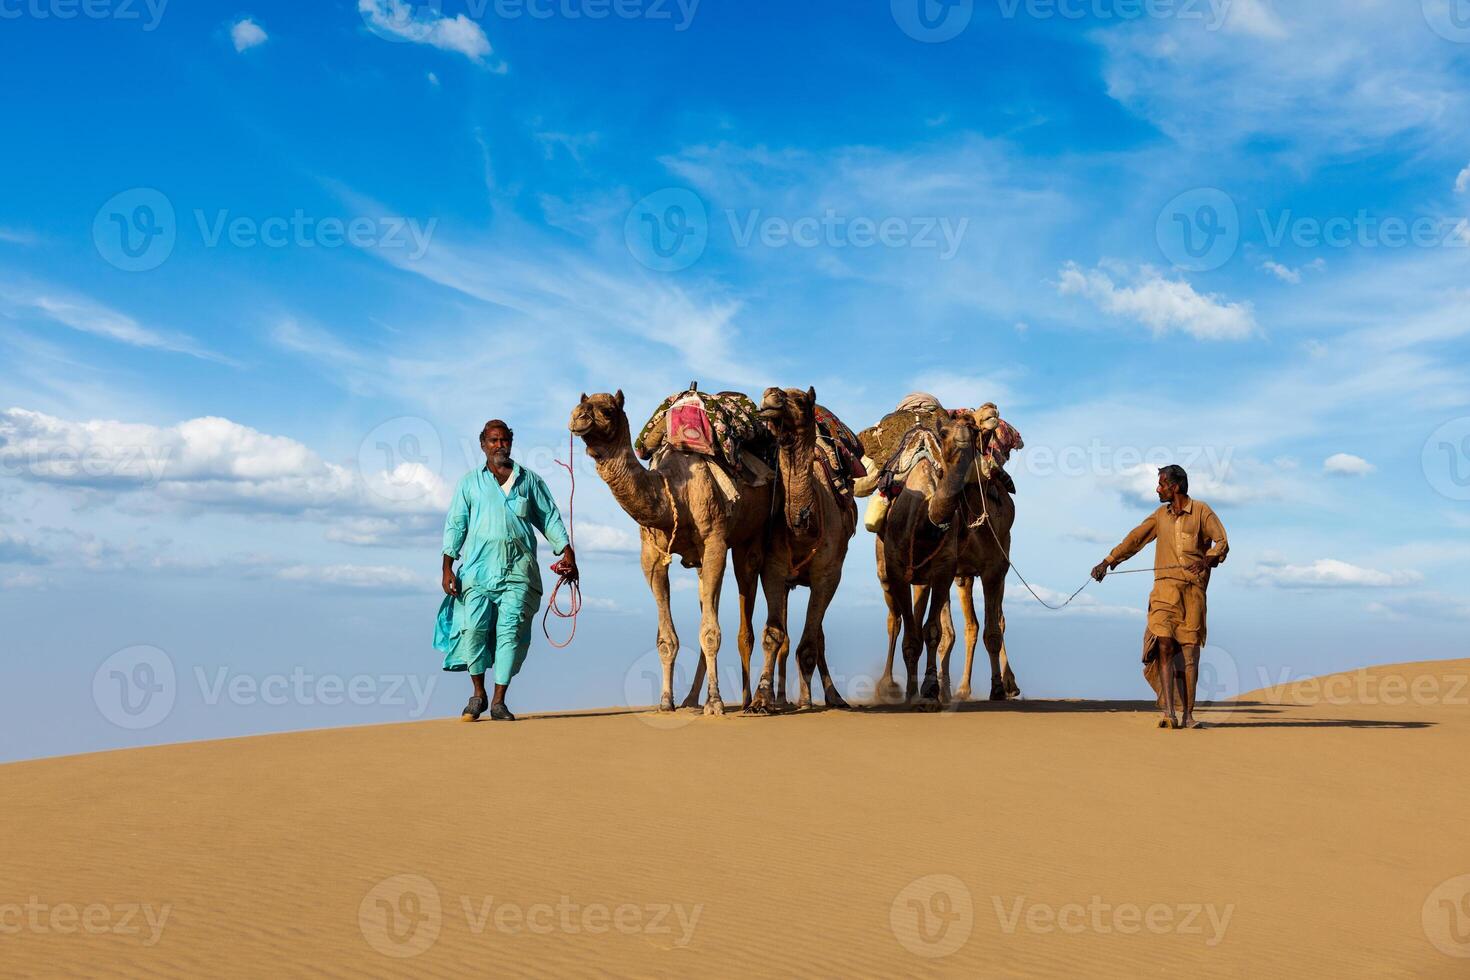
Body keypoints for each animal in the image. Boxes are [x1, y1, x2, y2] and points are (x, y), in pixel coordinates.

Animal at [564, 387, 776, 717]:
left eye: (608, 410)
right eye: (580, 403)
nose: (578, 417)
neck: (673, 491)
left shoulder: (715, 541)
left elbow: (710, 633)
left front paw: (716, 703)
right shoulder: (651, 556)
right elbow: (667, 638)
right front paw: (666, 701)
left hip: (750, 538)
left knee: (745, 602)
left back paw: (749, 701)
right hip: (702, 562)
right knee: (709, 602)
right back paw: (692, 699)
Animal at [752, 384, 858, 714]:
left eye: (799, 399)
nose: (769, 394)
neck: (803, 525)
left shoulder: (827, 576)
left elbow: (810, 645)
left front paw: (808, 702)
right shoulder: (773, 571)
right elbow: (774, 635)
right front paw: (761, 699)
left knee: (818, 636)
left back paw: (827, 697)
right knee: (789, 640)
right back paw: (784, 698)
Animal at [870, 417, 976, 708]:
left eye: (974, 431)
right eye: (945, 432)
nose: (963, 438)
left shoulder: (943, 572)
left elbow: (931, 631)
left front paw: (929, 689)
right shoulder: (897, 572)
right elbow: (909, 636)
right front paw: (910, 692)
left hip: (921, 579)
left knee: (917, 620)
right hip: (885, 574)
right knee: (894, 621)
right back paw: (889, 687)